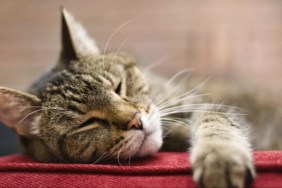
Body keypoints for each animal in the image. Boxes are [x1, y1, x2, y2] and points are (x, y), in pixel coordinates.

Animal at [0, 7, 280, 188]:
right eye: (88, 123)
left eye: (119, 87)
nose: (136, 120)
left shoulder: (202, 103)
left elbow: (216, 124)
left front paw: (220, 157)